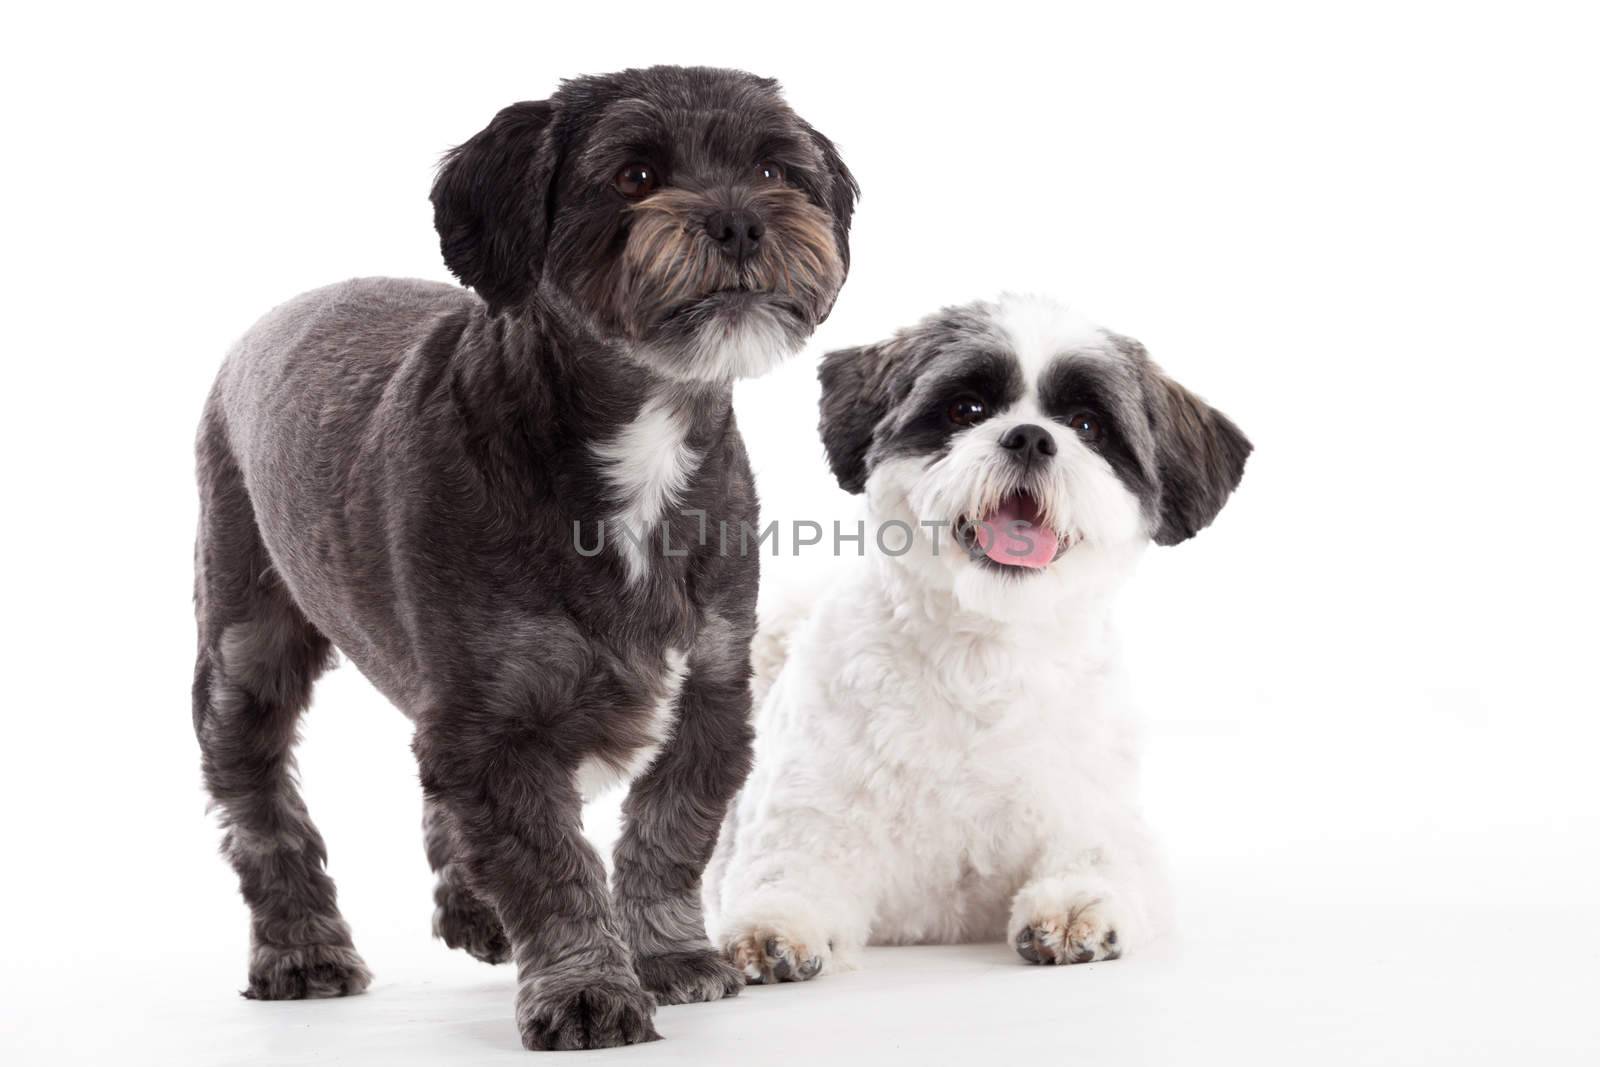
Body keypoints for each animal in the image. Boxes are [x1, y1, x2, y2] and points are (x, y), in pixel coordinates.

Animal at [193, 66, 857, 1049]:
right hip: (245, 637)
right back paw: (301, 947)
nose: (741, 221)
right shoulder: (498, 721)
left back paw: (469, 903)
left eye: (777, 169)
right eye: (633, 175)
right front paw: (586, 988)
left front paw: (668, 955)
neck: (639, 438)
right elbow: (549, 864)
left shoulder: (711, 683)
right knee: (258, 803)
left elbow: (671, 828)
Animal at [710, 295, 1248, 979]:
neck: (981, 657)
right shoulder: (806, 809)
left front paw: (1074, 909)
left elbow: (1102, 859)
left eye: (1087, 425)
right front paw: (772, 927)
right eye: (967, 409)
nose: (1031, 436)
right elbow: (785, 870)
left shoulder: (1101, 814)